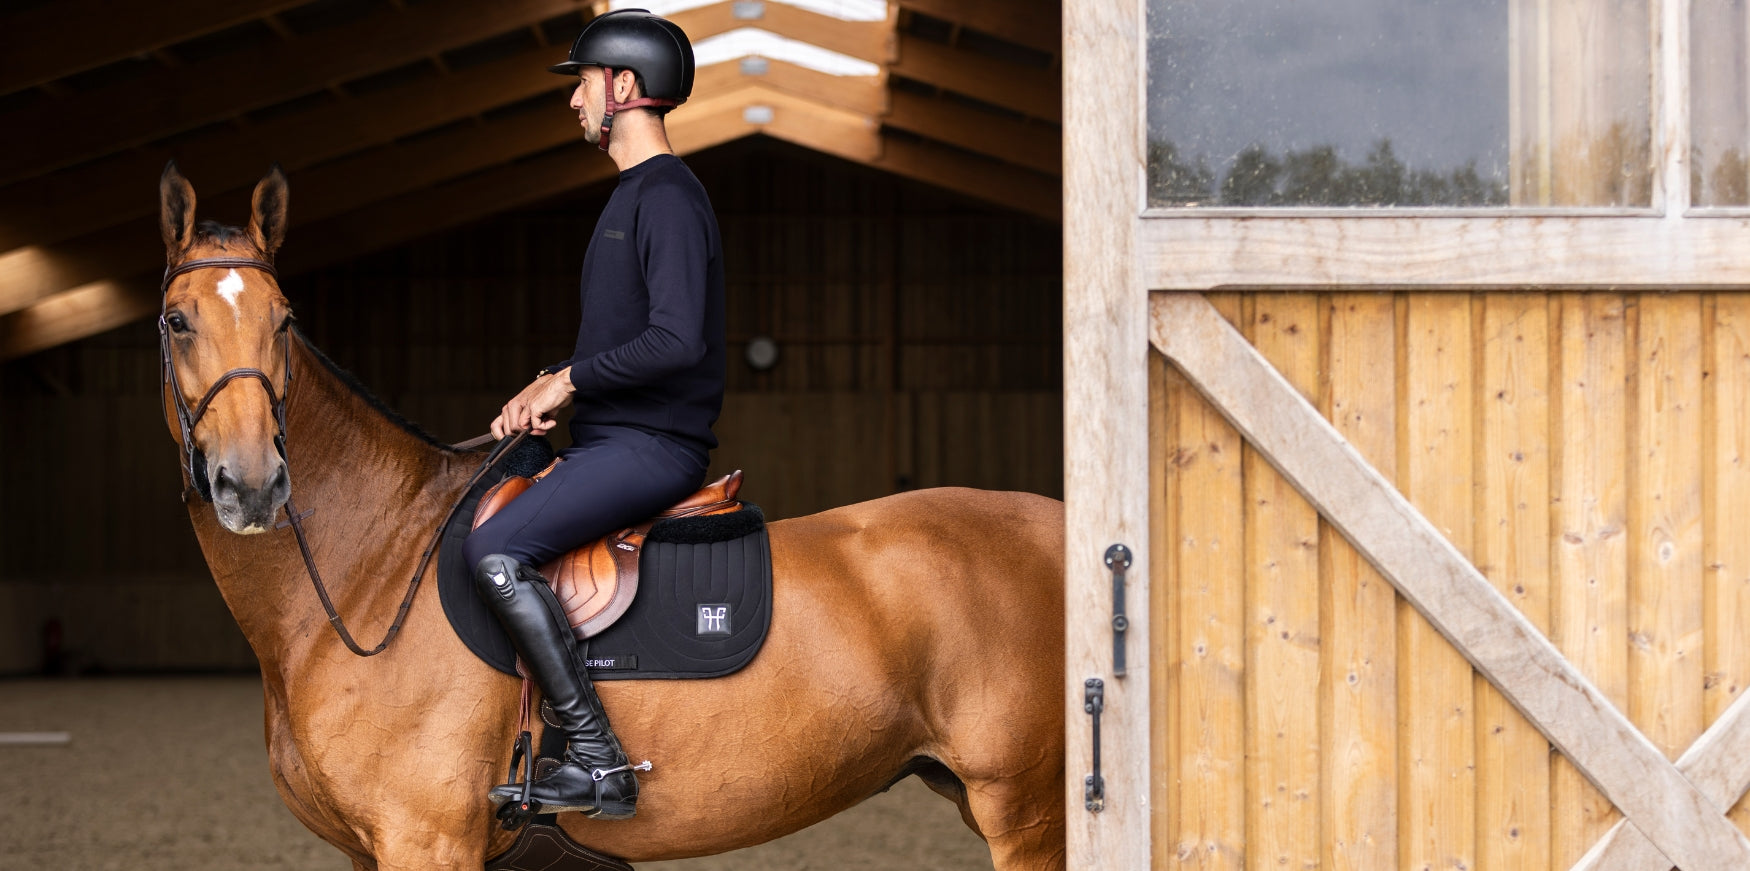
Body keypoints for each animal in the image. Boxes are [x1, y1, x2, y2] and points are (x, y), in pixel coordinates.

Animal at [153, 163, 1067, 871]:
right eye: (177, 320)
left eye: (284, 320)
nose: (252, 483)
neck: (374, 565)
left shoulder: (426, 839)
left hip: (1026, 811)